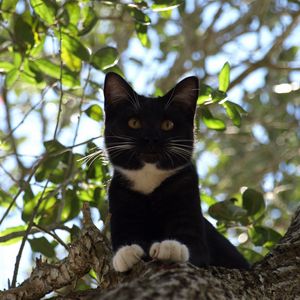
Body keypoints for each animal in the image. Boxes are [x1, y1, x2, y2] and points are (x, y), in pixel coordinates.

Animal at [103, 72, 248, 272]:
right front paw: (127, 252)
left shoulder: (187, 190)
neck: (148, 180)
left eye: (167, 124)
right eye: (134, 122)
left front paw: (171, 247)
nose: (151, 138)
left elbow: (193, 246)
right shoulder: (119, 197)